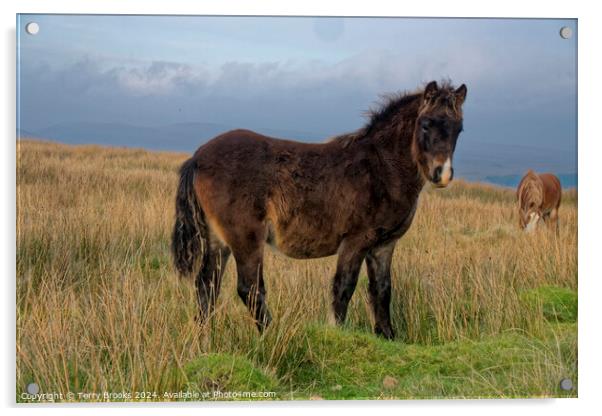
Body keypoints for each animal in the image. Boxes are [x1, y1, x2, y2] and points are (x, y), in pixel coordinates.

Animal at [171, 80, 466, 338]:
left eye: (459, 129)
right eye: (425, 124)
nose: (442, 174)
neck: (383, 167)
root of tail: (198, 157)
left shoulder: (384, 245)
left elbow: (382, 290)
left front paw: (388, 336)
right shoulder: (356, 241)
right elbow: (343, 287)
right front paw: (336, 334)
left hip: (218, 241)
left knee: (206, 287)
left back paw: (204, 341)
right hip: (246, 238)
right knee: (249, 290)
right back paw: (274, 336)